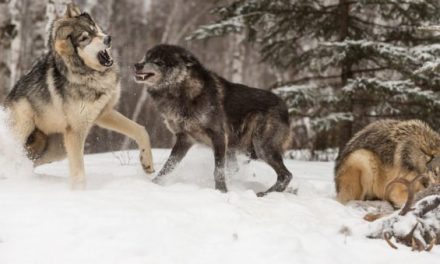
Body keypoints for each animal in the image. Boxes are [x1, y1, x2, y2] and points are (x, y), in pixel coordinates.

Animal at [3, 3, 154, 188]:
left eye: (94, 29)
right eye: (84, 38)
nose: (108, 38)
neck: (91, 75)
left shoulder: (104, 113)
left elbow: (140, 130)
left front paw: (147, 164)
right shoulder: (76, 132)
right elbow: (79, 173)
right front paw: (80, 192)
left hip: (55, 150)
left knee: (27, 163)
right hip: (22, 131)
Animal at [132, 43, 294, 196]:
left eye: (158, 62)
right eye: (146, 57)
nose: (137, 65)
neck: (182, 92)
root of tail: (285, 107)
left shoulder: (219, 136)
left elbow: (218, 170)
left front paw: (221, 191)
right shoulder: (184, 139)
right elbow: (168, 166)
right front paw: (153, 184)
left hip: (261, 148)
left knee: (286, 175)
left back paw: (264, 194)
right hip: (240, 148)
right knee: (240, 169)